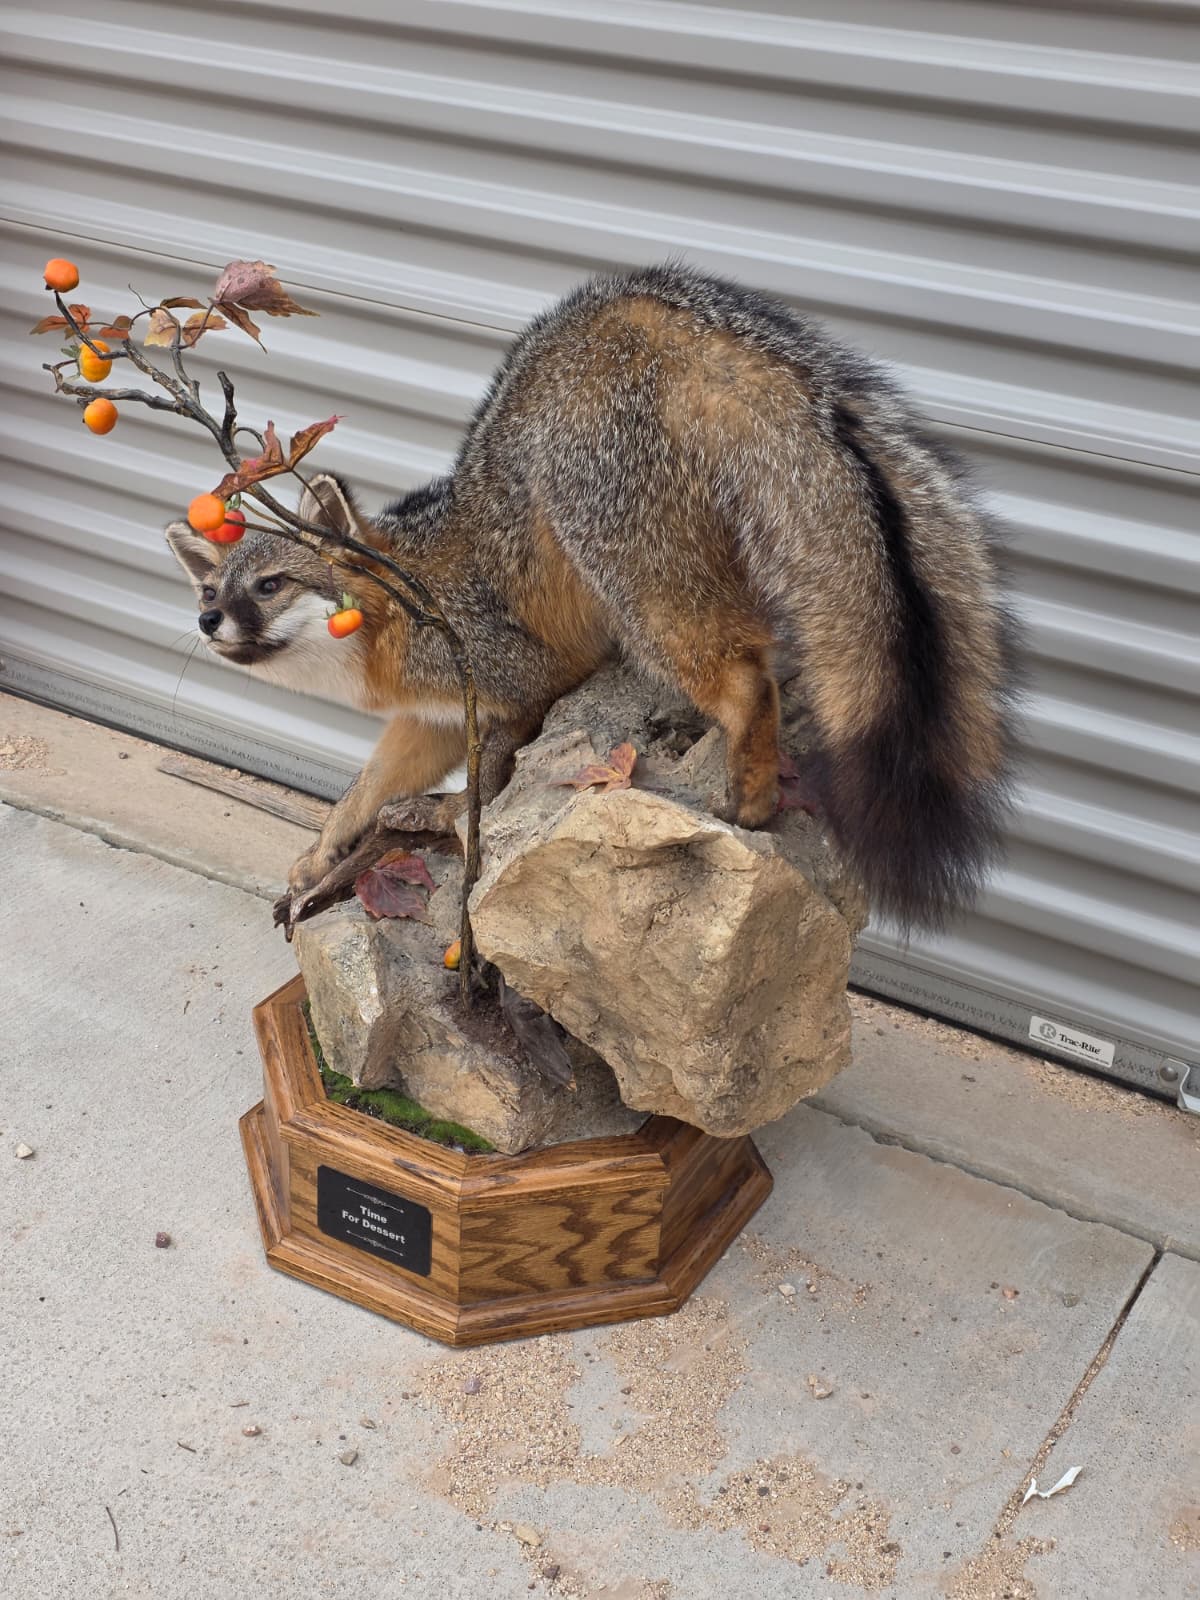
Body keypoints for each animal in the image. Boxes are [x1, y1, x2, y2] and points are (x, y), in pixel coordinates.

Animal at [167, 263, 1019, 929]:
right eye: (210, 589)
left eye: (270, 586)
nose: (208, 620)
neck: (400, 613)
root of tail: (649, 314)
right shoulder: (432, 717)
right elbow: (364, 788)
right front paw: (322, 855)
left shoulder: (514, 682)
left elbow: (486, 786)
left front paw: (449, 823)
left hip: (635, 588)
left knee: (747, 681)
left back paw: (748, 801)